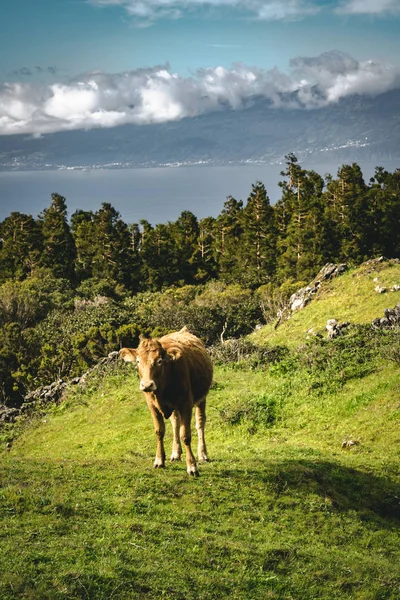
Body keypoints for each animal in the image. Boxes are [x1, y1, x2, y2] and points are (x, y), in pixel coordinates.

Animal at [119, 326, 212, 476]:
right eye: (138, 361)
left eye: (159, 361)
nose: (147, 385)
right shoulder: (152, 406)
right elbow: (159, 431)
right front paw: (159, 460)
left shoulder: (186, 404)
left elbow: (186, 435)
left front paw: (192, 466)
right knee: (175, 423)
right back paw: (176, 453)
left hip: (202, 397)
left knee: (200, 422)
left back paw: (203, 454)